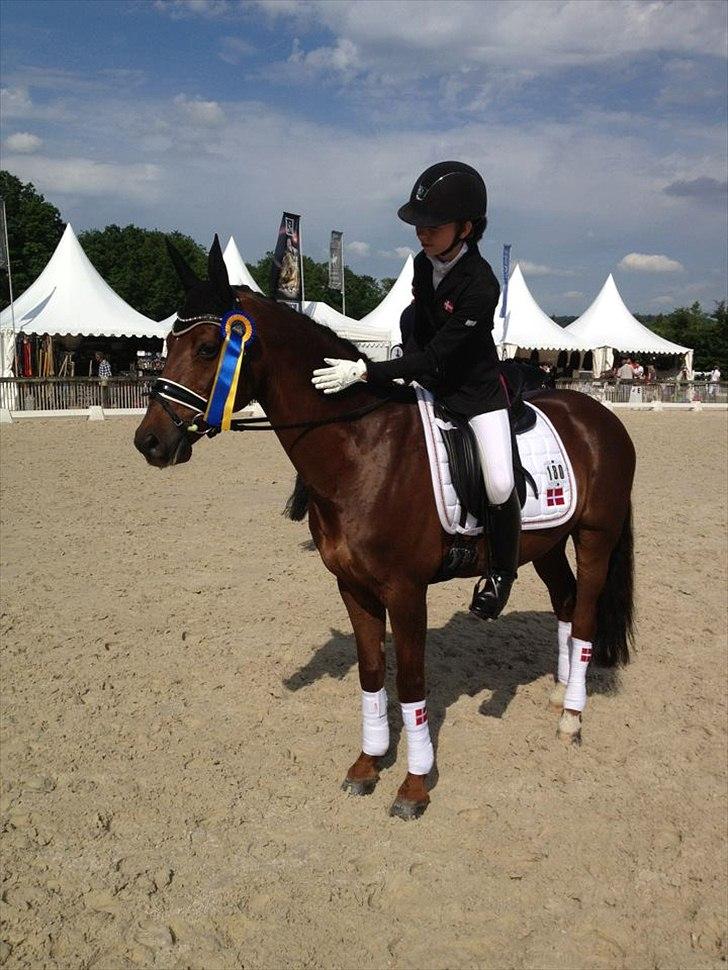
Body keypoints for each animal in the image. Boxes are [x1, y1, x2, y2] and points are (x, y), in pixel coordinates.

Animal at [134, 237, 635, 820]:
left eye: (209, 347)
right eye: (167, 341)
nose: (149, 441)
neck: (360, 448)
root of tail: (599, 416)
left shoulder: (406, 589)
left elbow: (412, 683)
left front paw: (414, 786)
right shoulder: (353, 587)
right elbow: (372, 673)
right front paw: (368, 764)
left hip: (595, 537)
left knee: (585, 614)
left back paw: (572, 718)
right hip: (547, 542)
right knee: (565, 601)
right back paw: (558, 693)